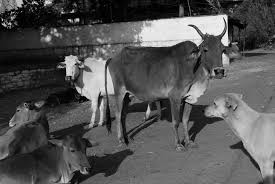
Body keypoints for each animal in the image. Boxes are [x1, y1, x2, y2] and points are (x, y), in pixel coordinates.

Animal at [105, 18, 235, 152]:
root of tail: (113, 58)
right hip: (119, 92)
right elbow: (176, 121)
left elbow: (185, 120)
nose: (219, 71)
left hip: (127, 94)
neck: (194, 67)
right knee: (118, 115)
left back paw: (127, 139)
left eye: (222, 50)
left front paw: (188, 142)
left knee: (123, 116)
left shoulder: (190, 98)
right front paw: (178, 144)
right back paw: (121, 141)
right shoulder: (174, 97)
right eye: (205, 49)